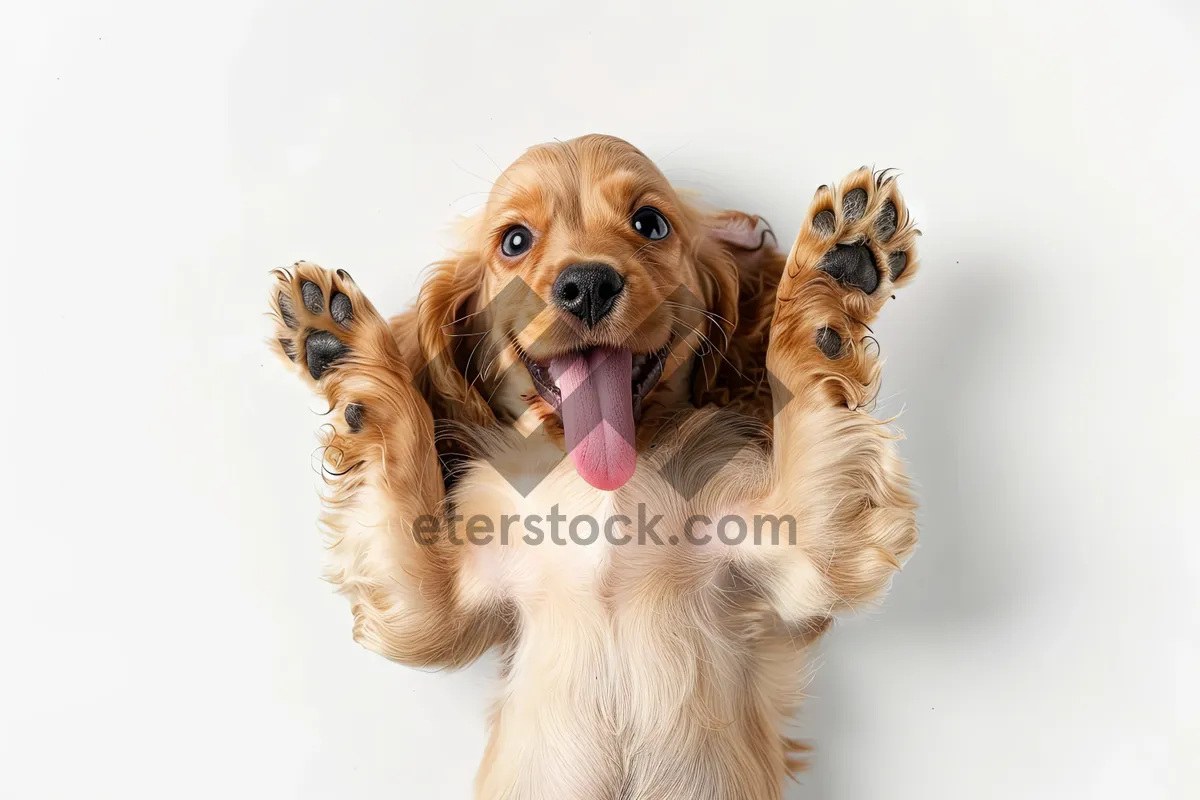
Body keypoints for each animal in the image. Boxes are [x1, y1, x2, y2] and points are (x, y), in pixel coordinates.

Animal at [265, 134, 916, 796]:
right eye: (515, 240)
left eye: (650, 223)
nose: (587, 285)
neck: (601, 479)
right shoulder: (431, 612)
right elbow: (402, 453)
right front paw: (347, 352)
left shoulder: (808, 556)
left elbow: (802, 376)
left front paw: (830, 273)